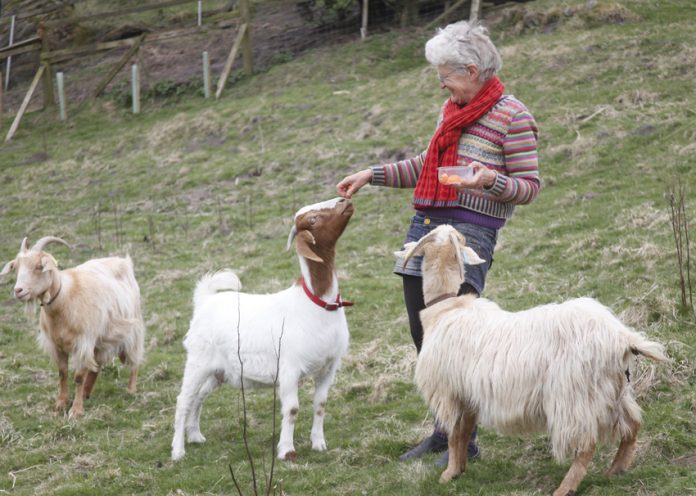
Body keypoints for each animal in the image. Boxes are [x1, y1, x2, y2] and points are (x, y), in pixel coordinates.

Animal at [1, 236, 145, 418]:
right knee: (96, 365)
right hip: (100, 337)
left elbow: (78, 377)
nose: (18, 290)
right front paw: (60, 404)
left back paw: (130, 389)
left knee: (134, 359)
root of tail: (123, 261)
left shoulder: (83, 343)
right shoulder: (58, 345)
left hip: (132, 328)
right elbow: (63, 374)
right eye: (17, 268)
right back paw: (87, 392)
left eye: (39, 266)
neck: (65, 301)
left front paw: (76, 411)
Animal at [171, 197, 354, 462]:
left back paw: (195, 435)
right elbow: (292, 409)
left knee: (199, 396)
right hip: (198, 361)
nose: (344, 200)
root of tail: (205, 300)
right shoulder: (289, 369)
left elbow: (320, 405)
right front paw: (286, 451)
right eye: (312, 220)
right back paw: (177, 451)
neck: (317, 303)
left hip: (219, 371)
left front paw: (319, 443)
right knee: (183, 400)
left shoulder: (328, 367)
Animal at [396, 224, 669, 496]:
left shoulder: (449, 392)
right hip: (612, 391)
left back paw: (565, 488)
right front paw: (460, 469)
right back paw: (616, 470)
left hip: (573, 396)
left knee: (586, 443)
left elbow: (453, 436)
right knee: (632, 426)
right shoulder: (469, 393)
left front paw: (448, 474)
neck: (446, 308)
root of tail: (621, 337)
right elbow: (464, 434)